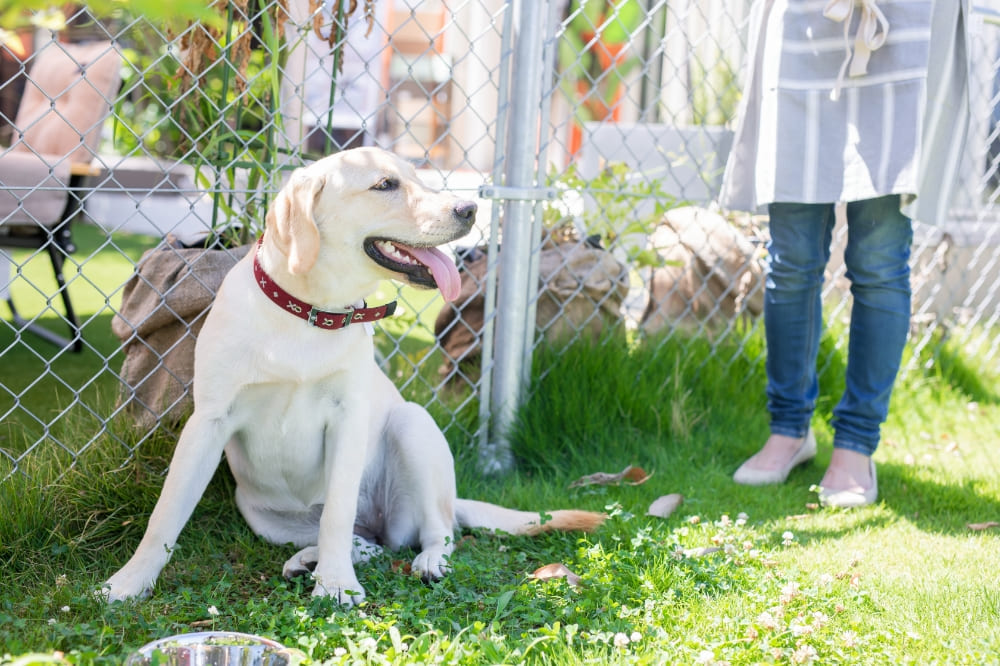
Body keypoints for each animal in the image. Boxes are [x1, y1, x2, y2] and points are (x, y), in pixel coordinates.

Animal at [101, 148, 604, 604]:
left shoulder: (347, 419)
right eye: (384, 185)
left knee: (434, 530)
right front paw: (129, 582)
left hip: (412, 425)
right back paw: (308, 559)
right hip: (259, 512)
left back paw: (422, 560)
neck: (309, 312)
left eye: (418, 179)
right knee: (371, 544)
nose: (469, 209)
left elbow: (337, 516)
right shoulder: (208, 421)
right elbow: (165, 514)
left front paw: (336, 585)